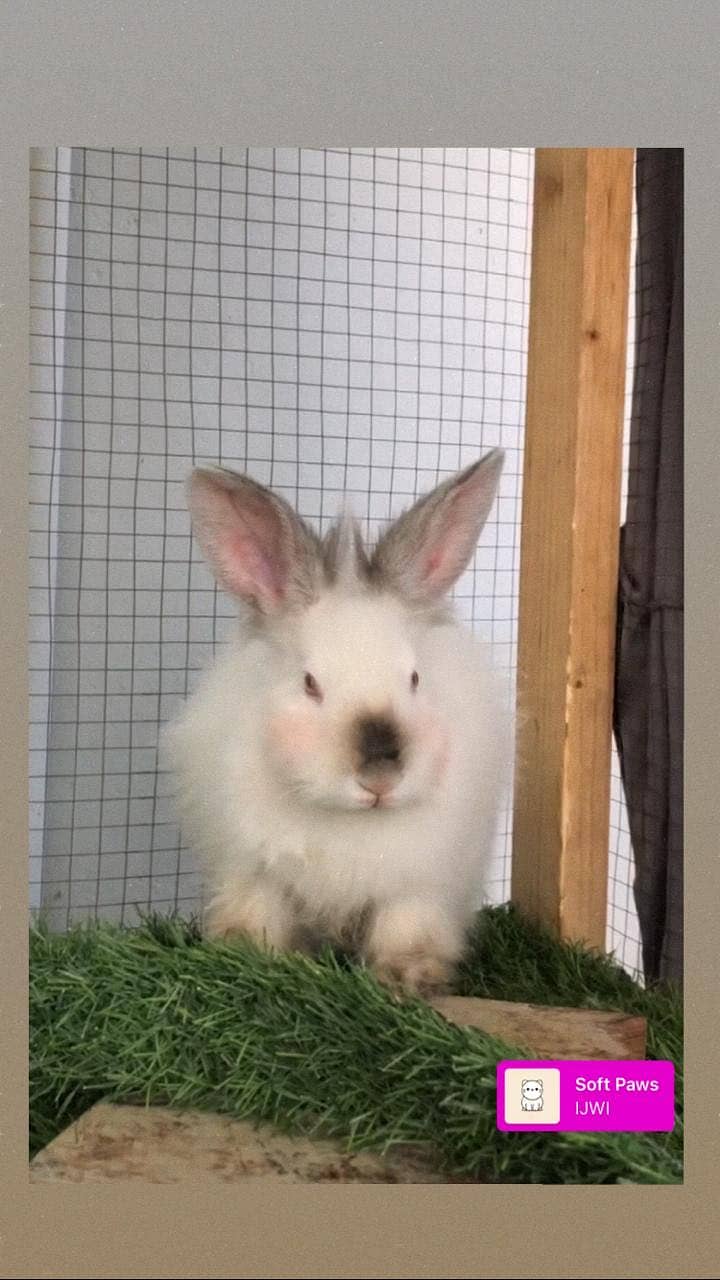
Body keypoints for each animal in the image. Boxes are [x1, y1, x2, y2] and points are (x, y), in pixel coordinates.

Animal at [161, 449, 513, 995]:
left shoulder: (419, 883)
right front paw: (249, 958)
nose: (380, 776)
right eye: (310, 683)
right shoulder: (253, 869)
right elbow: (258, 918)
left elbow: (406, 927)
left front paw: (409, 978)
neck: (350, 820)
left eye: (414, 678)